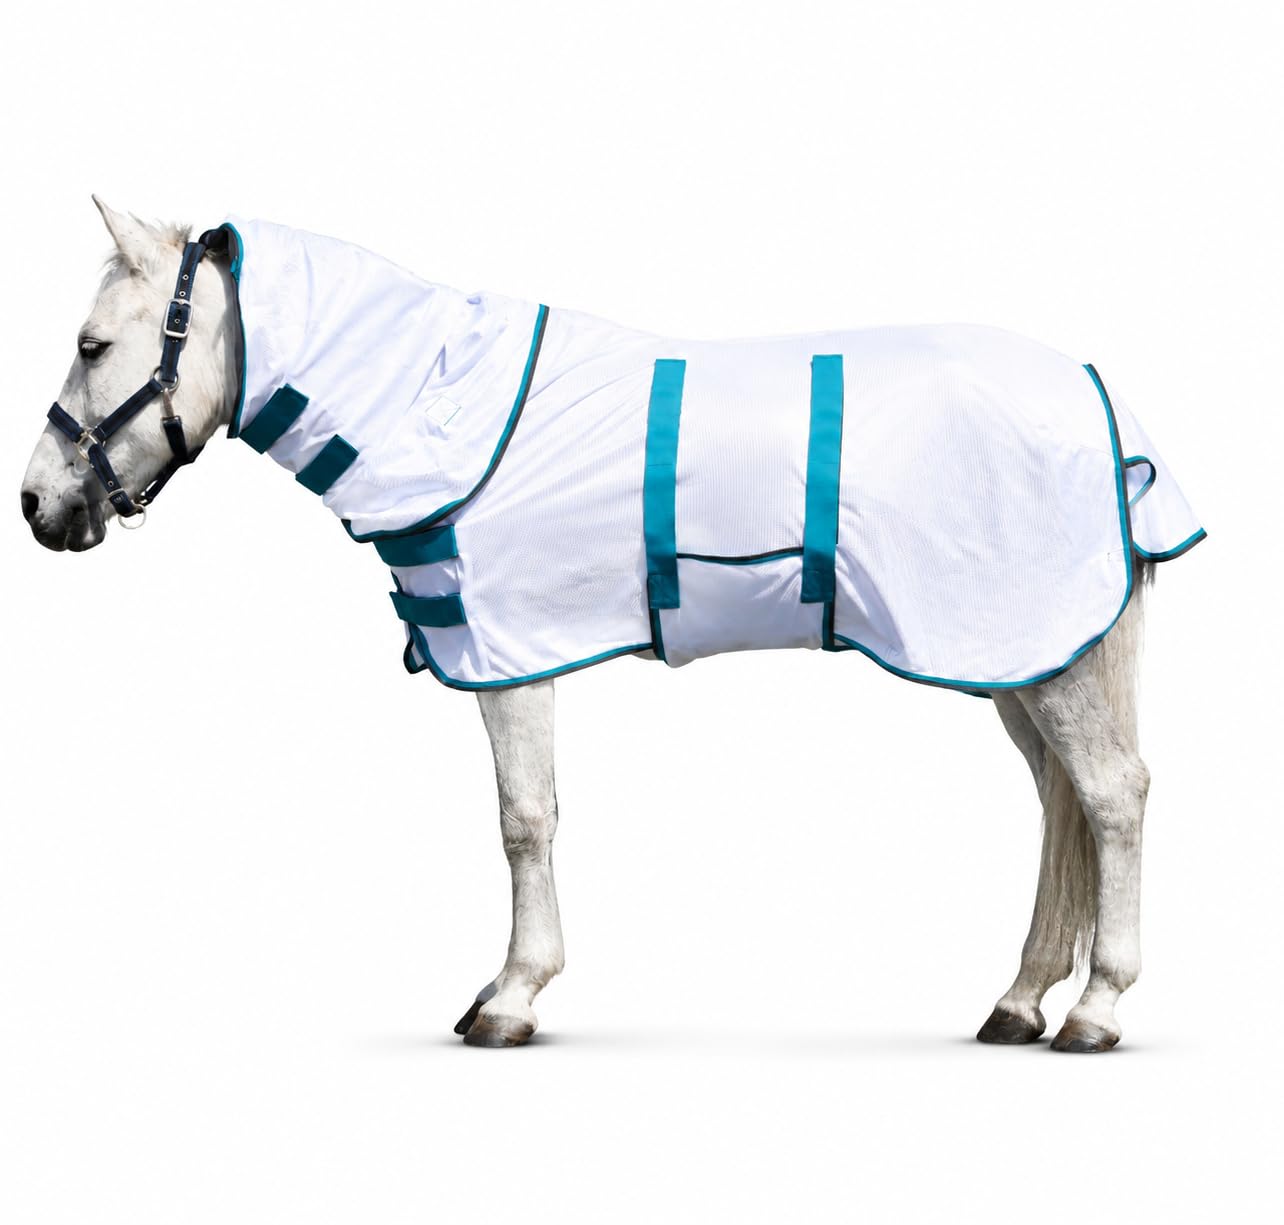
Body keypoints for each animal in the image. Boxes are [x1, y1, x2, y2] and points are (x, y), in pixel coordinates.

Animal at [20, 198, 1204, 1050]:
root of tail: (1101, 400)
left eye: (91, 343)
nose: (37, 504)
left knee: (1112, 795)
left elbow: (523, 819)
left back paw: (1096, 1009)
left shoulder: (508, 657)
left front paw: (511, 994)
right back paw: (1020, 1000)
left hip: (1041, 659)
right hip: (1021, 656)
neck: (440, 405)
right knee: (1062, 804)